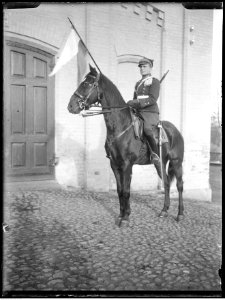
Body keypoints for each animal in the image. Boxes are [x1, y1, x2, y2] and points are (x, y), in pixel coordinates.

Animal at [68, 65, 185, 225]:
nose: (70, 106)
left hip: (177, 162)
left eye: (86, 84)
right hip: (160, 162)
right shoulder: (114, 164)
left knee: (179, 185)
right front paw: (121, 214)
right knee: (166, 183)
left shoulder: (127, 165)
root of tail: (176, 131)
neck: (120, 127)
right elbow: (119, 190)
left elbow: (126, 190)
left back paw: (180, 214)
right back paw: (164, 211)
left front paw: (126, 217)